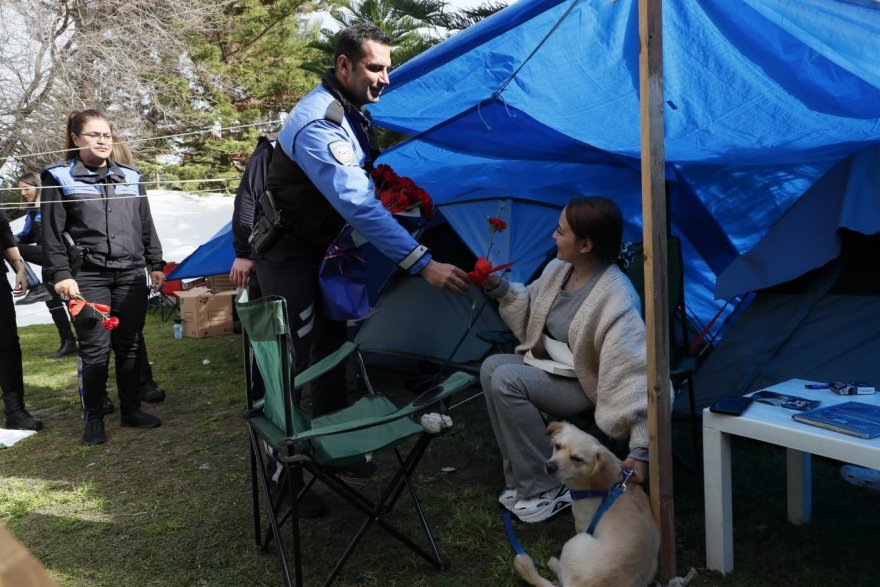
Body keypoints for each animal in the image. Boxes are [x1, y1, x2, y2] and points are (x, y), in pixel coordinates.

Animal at [512, 422, 656, 587]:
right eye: (558, 446)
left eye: (577, 459)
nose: (550, 466)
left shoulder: (581, 526)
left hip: (574, 543)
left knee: (562, 575)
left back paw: (554, 563)